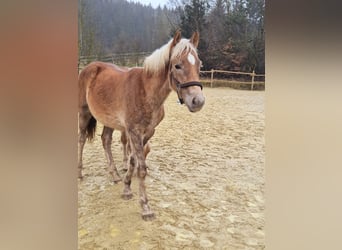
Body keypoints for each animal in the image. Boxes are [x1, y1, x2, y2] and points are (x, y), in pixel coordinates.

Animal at [78, 30, 204, 219]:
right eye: (177, 66)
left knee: (105, 140)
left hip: (109, 120)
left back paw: (115, 175)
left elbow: (133, 161)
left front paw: (126, 189)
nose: (198, 101)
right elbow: (141, 168)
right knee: (81, 140)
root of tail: (89, 67)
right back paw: (80, 173)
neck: (146, 91)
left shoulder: (147, 132)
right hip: (83, 113)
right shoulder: (134, 132)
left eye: (199, 65)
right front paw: (145, 207)